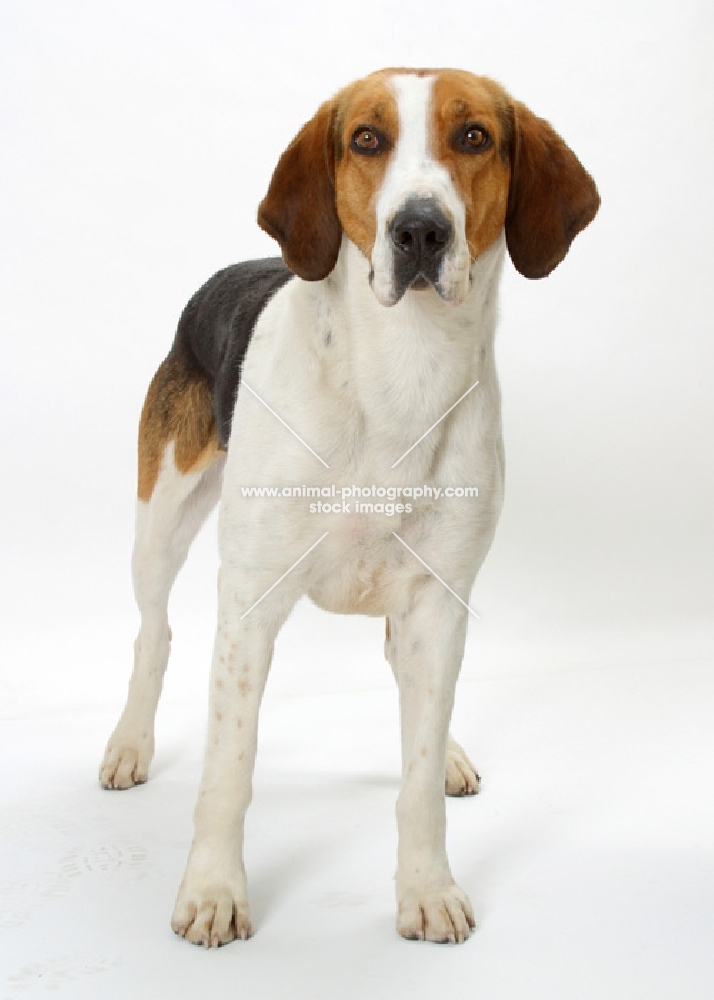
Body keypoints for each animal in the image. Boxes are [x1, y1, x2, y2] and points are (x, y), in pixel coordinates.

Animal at [98, 68, 596, 944]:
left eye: (474, 137)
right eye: (366, 138)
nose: (420, 230)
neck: (403, 372)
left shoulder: (438, 600)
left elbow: (418, 776)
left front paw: (427, 888)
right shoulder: (250, 603)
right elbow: (229, 770)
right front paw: (213, 891)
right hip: (160, 521)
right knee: (153, 634)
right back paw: (130, 744)